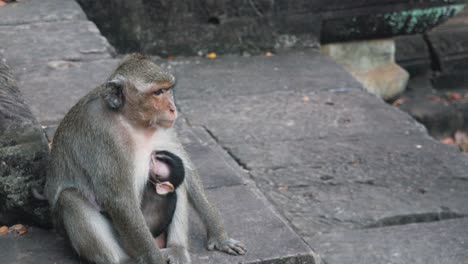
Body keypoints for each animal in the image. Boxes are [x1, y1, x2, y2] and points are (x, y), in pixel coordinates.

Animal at [44, 54, 245, 264]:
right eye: (158, 92)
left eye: (167, 89)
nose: (173, 109)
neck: (132, 122)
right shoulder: (102, 133)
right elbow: (120, 199)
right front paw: (155, 260)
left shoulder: (164, 128)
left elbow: (186, 170)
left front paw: (220, 237)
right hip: (127, 242)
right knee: (70, 198)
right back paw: (123, 261)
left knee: (178, 183)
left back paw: (176, 249)